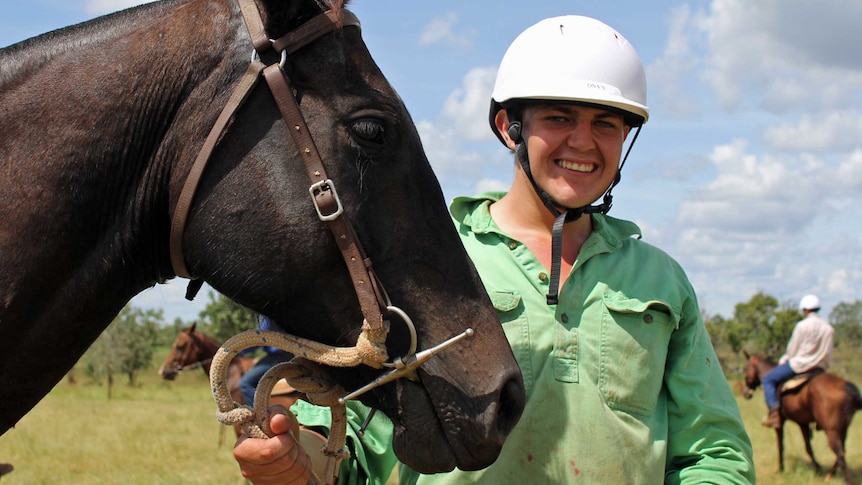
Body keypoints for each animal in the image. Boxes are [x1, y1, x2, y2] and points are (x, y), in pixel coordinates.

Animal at [744, 350, 862, 482]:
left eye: (745, 369)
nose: (746, 393)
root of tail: (847, 387)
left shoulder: (781, 422)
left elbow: (781, 445)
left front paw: (781, 469)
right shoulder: (803, 422)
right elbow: (808, 447)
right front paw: (818, 469)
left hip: (832, 430)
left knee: (840, 454)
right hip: (843, 428)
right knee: (842, 451)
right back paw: (829, 476)